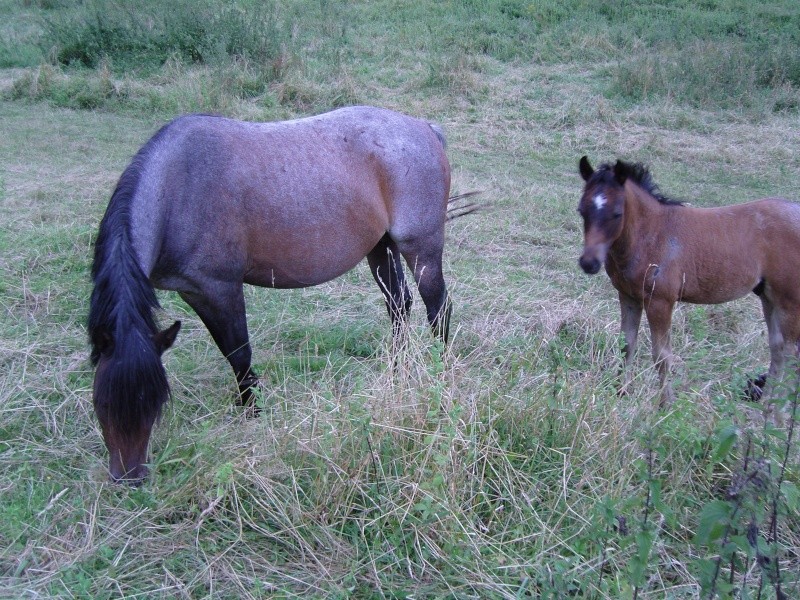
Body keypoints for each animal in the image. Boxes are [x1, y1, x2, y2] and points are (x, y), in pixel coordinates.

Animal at [89, 106, 476, 482]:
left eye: (152, 401)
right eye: (102, 403)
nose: (129, 478)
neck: (175, 188)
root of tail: (423, 128)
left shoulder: (220, 289)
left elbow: (239, 353)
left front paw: (253, 412)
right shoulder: (193, 293)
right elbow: (231, 351)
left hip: (419, 247)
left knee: (437, 308)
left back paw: (439, 376)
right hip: (381, 247)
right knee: (398, 305)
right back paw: (398, 374)